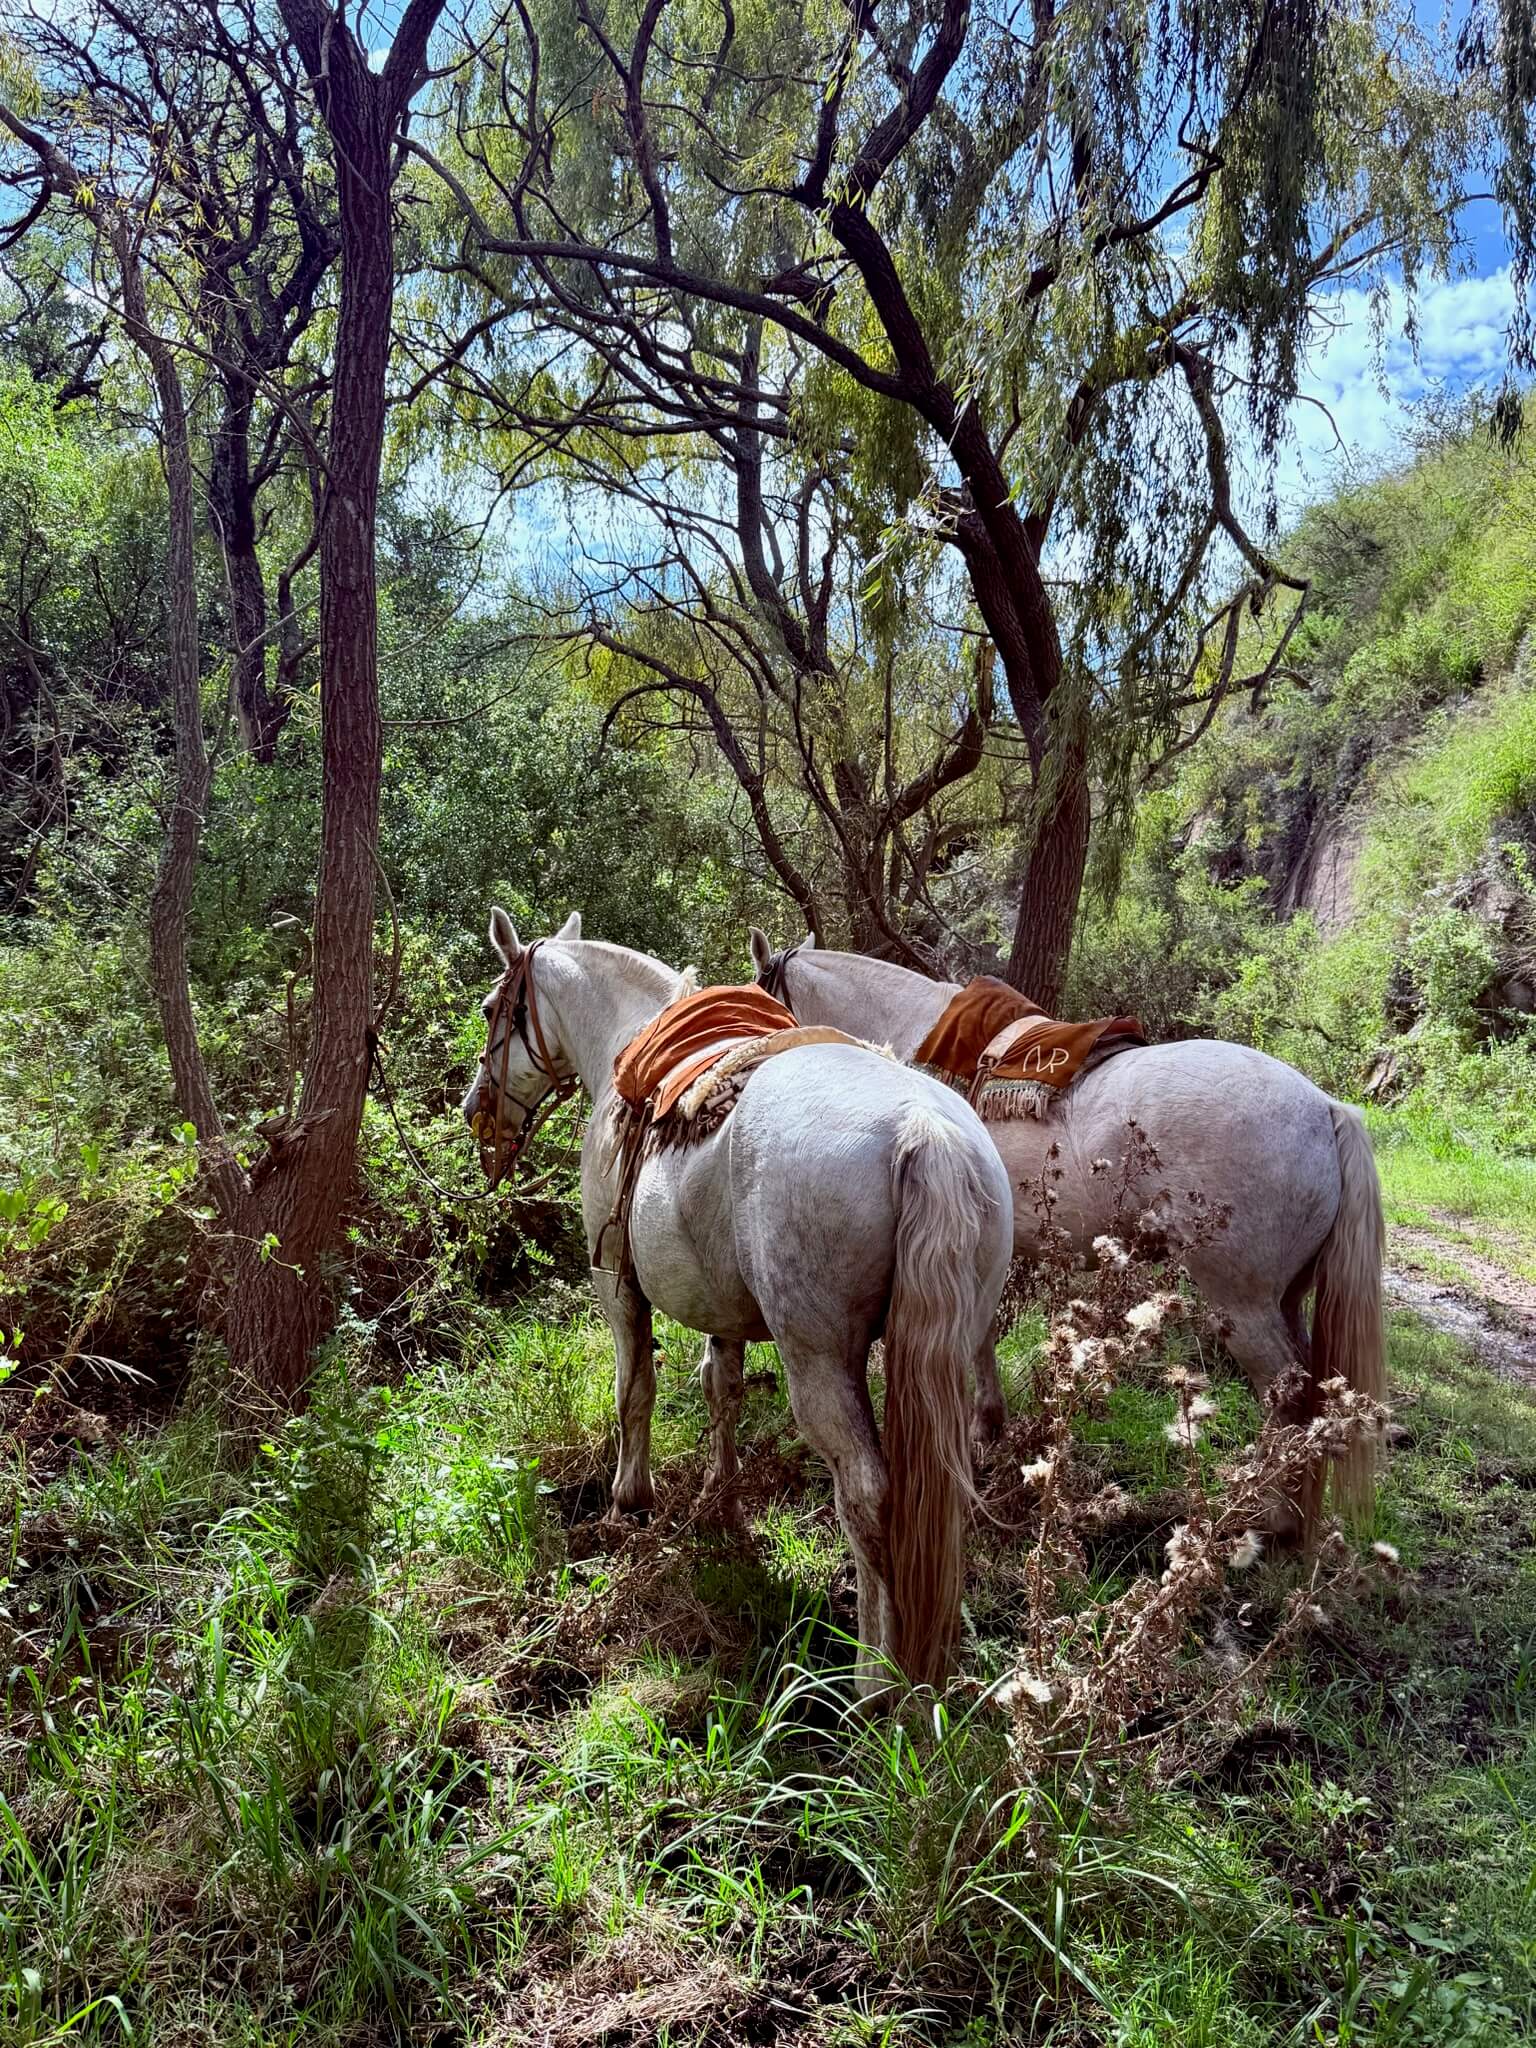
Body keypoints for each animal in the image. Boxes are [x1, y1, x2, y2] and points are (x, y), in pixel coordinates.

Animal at [462, 910, 1014, 1695]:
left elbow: (636, 1389)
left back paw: (874, 1679)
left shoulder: (617, 1286)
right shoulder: (717, 1308)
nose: (475, 1110)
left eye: (490, 1010)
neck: (626, 1041)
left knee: (868, 1497)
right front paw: (718, 1498)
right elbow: (720, 1387)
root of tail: (923, 1130)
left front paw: (630, 1499)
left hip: (819, 1365)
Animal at [750, 931, 1385, 1520]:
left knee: (1286, 1397)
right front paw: (990, 1427)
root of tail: (1325, 1109)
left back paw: (1268, 1516)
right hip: (1287, 1298)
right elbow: (983, 1336)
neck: (911, 1030)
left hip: (1243, 1303)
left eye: (762, 992)